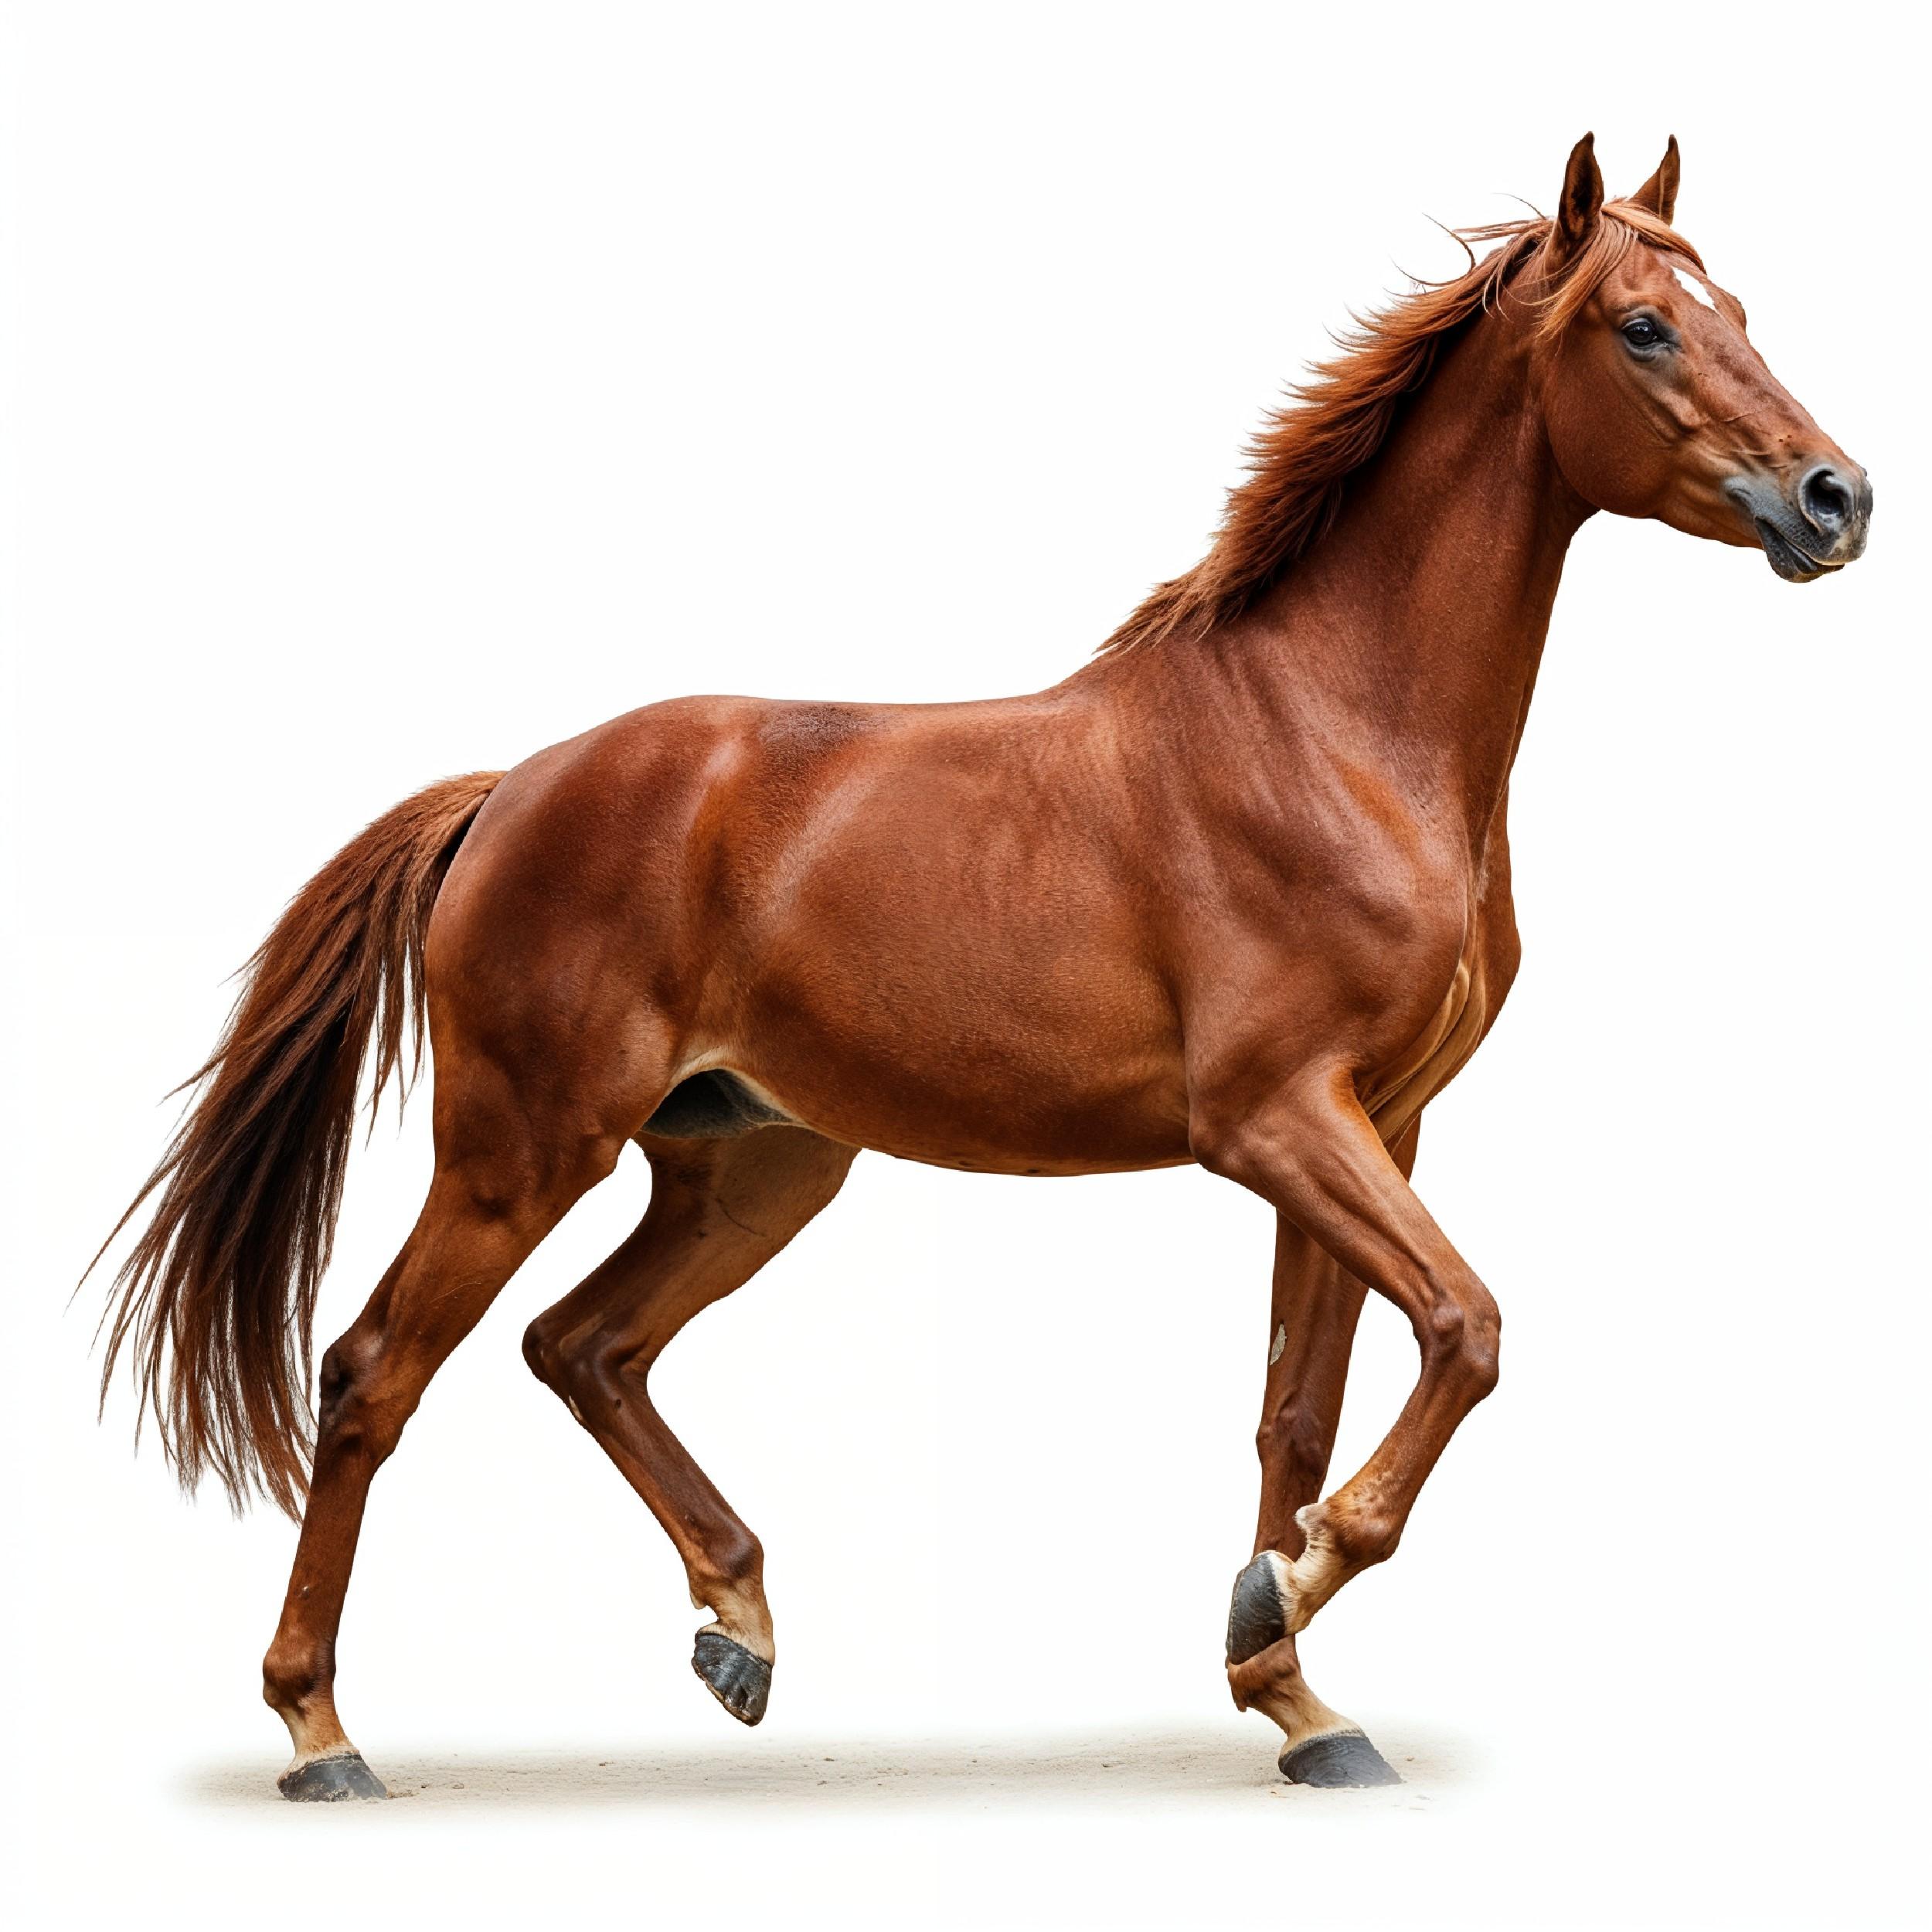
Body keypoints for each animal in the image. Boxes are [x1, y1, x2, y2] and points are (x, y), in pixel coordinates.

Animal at [93, 134, 1871, 1800]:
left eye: (1738, 309)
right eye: (1643, 325)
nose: (1833, 498)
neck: (1333, 733)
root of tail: (506, 791)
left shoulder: (1380, 1122)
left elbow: (1303, 1404)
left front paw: (1295, 1692)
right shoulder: (1275, 1118)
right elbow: (1469, 1326)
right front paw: (1287, 1590)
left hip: (754, 1167)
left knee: (581, 1347)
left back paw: (737, 1634)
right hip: (522, 1147)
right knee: (371, 1373)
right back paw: (323, 1733)